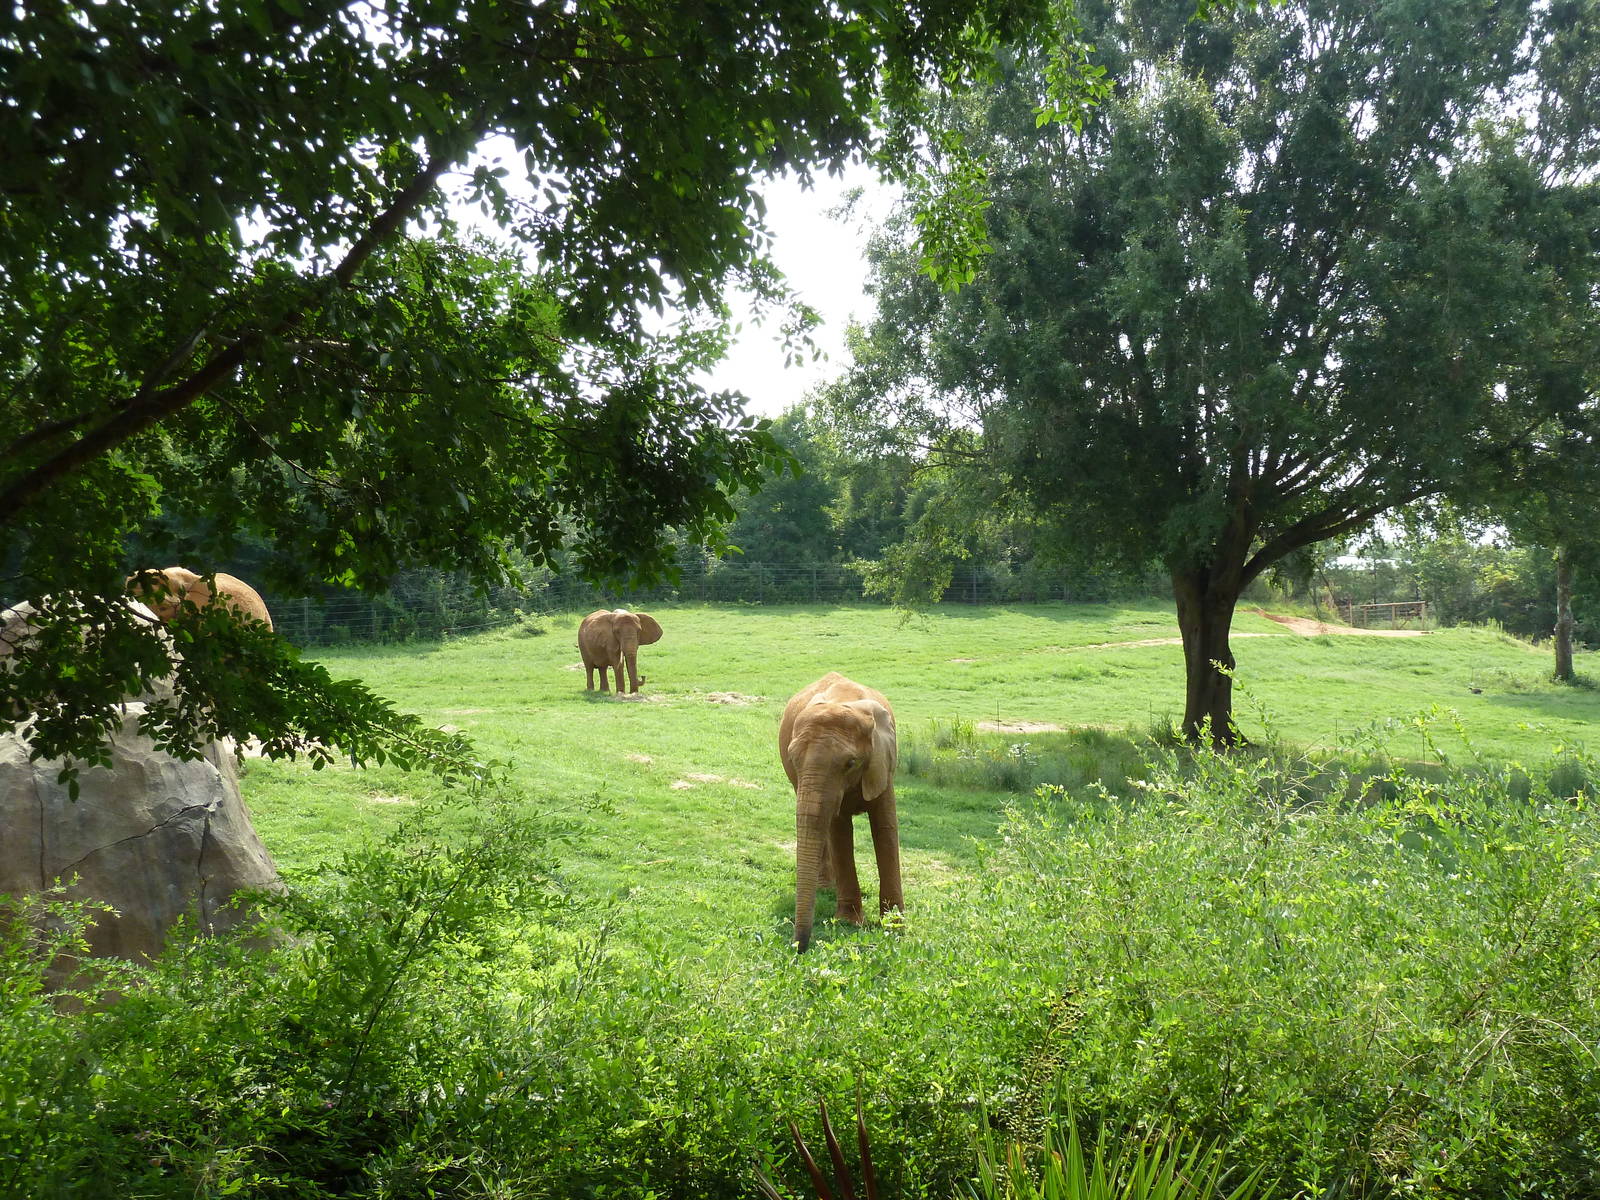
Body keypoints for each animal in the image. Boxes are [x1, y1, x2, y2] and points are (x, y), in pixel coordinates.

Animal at [779, 672, 901, 952]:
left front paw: (895, 924)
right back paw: (825, 886)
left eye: (851, 763)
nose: (798, 947)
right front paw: (849, 922)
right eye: (793, 760)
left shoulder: (883, 761)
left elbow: (885, 827)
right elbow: (838, 830)